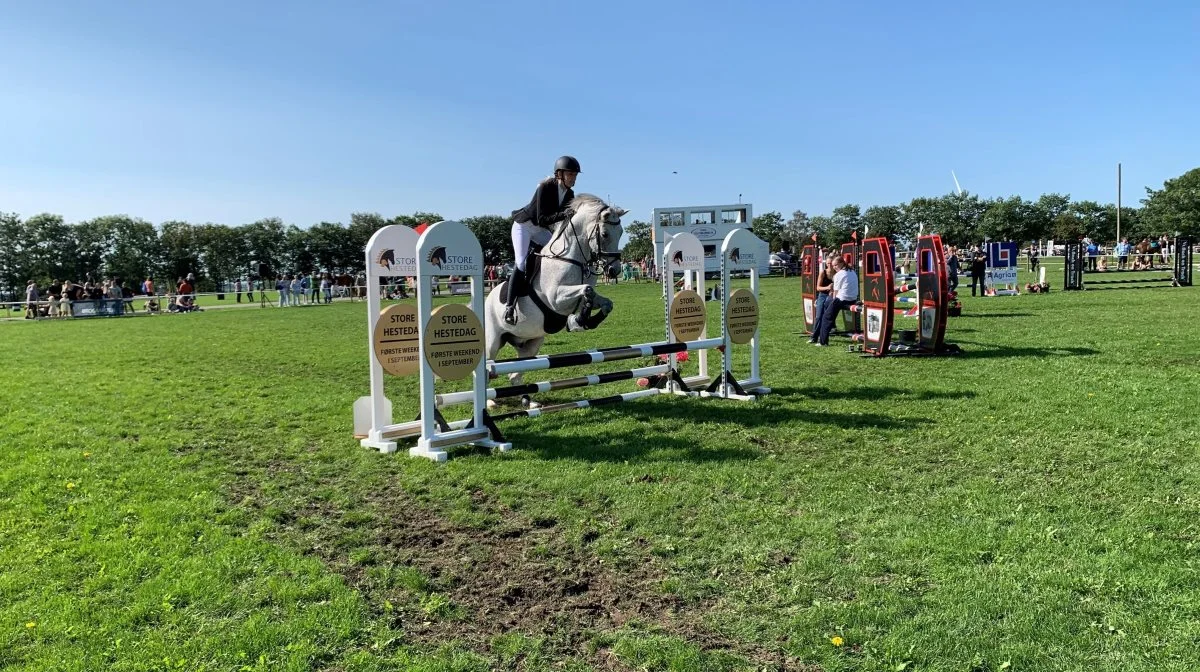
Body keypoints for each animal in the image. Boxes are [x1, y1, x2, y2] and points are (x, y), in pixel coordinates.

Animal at [482, 193, 628, 398]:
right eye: (605, 234)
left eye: (621, 232)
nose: (614, 271)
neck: (572, 258)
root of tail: (487, 300)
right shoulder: (556, 299)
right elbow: (587, 290)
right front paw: (578, 320)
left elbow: (605, 302)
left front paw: (586, 321)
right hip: (493, 341)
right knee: (488, 368)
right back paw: (491, 401)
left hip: (530, 342)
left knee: (514, 375)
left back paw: (528, 400)